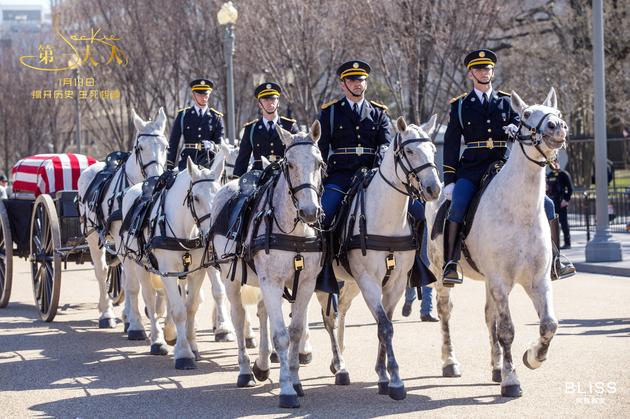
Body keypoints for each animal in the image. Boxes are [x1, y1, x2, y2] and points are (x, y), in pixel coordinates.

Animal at [78, 108, 169, 332]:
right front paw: (136, 323)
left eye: (165, 146)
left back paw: (126, 315)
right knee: (101, 271)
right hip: (92, 236)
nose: (156, 178)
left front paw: (142, 314)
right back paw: (106, 313)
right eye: (140, 147)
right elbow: (133, 282)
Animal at [211, 122, 324, 410]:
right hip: (232, 279)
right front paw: (286, 389)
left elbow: (295, 331)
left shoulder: (305, 283)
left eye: (319, 163)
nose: (310, 212)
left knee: (262, 314)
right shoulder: (271, 282)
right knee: (239, 317)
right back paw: (244, 370)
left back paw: (261, 365)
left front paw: (295, 380)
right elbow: (281, 335)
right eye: (289, 165)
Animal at [318, 115, 442, 400]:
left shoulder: (394, 283)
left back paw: (339, 362)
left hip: (350, 283)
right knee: (327, 318)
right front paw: (395, 380)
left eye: (433, 150)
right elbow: (384, 326)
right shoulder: (369, 281)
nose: (434, 189)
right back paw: (336, 365)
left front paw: (384, 374)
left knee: (340, 310)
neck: (387, 220)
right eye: (410, 151)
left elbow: (384, 325)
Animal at [424, 88, 568, 398]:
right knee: (445, 312)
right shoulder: (501, 281)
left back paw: (496, 367)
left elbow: (549, 324)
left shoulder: (537, 280)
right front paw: (512, 380)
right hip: (443, 275)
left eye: (559, 113)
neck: (519, 211)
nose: (557, 127)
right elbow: (507, 330)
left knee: (489, 315)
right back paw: (450, 362)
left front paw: (533, 357)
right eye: (526, 114)